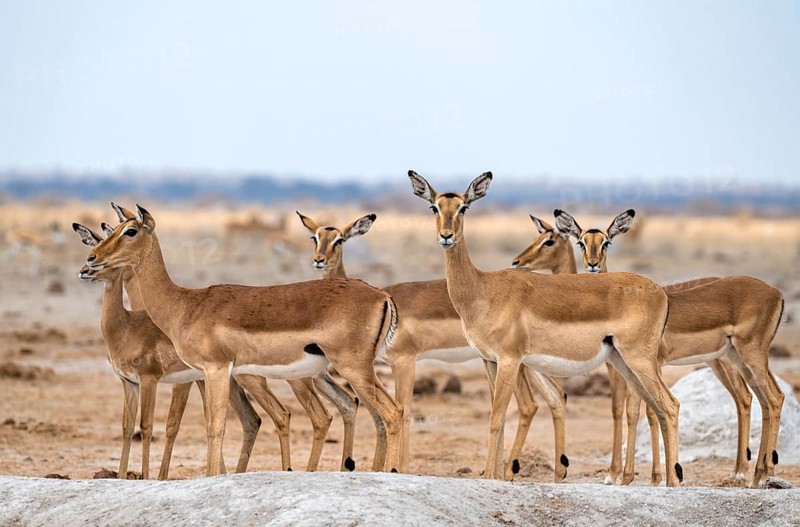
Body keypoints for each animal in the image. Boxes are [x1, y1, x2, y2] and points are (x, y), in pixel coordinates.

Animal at [84, 205, 403, 476]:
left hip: (351, 369)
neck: (184, 304)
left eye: (130, 231)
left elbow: (216, 427)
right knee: (382, 412)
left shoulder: (215, 369)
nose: (91, 260)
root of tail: (382, 295)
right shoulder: (208, 374)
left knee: (390, 412)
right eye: (113, 229)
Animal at [295, 211, 569, 480]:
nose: (319, 260)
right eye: (314, 237)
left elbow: (404, 411)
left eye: (339, 240)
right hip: (525, 362)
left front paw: (399, 469)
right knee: (555, 396)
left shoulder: (404, 360)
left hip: (513, 363)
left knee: (528, 405)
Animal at [408, 171, 684, 486]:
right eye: (434, 207)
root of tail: (660, 292)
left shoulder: (510, 360)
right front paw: (494, 477)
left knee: (670, 406)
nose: (446, 236)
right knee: (657, 408)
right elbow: (498, 417)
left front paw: (491, 477)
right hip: (624, 363)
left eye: (464, 207)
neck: (482, 289)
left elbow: (497, 417)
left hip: (638, 361)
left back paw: (671, 482)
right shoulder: (490, 360)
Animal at [552, 209, 785, 487]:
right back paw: (756, 474)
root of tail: (777, 293)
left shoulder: (649, 365)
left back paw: (760, 475)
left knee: (772, 398)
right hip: (737, 359)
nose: (593, 264)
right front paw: (651, 477)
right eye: (581, 242)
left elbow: (641, 411)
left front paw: (636, 477)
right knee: (759, 399)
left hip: (747, 357)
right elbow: (642, 410)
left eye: (606, 242)